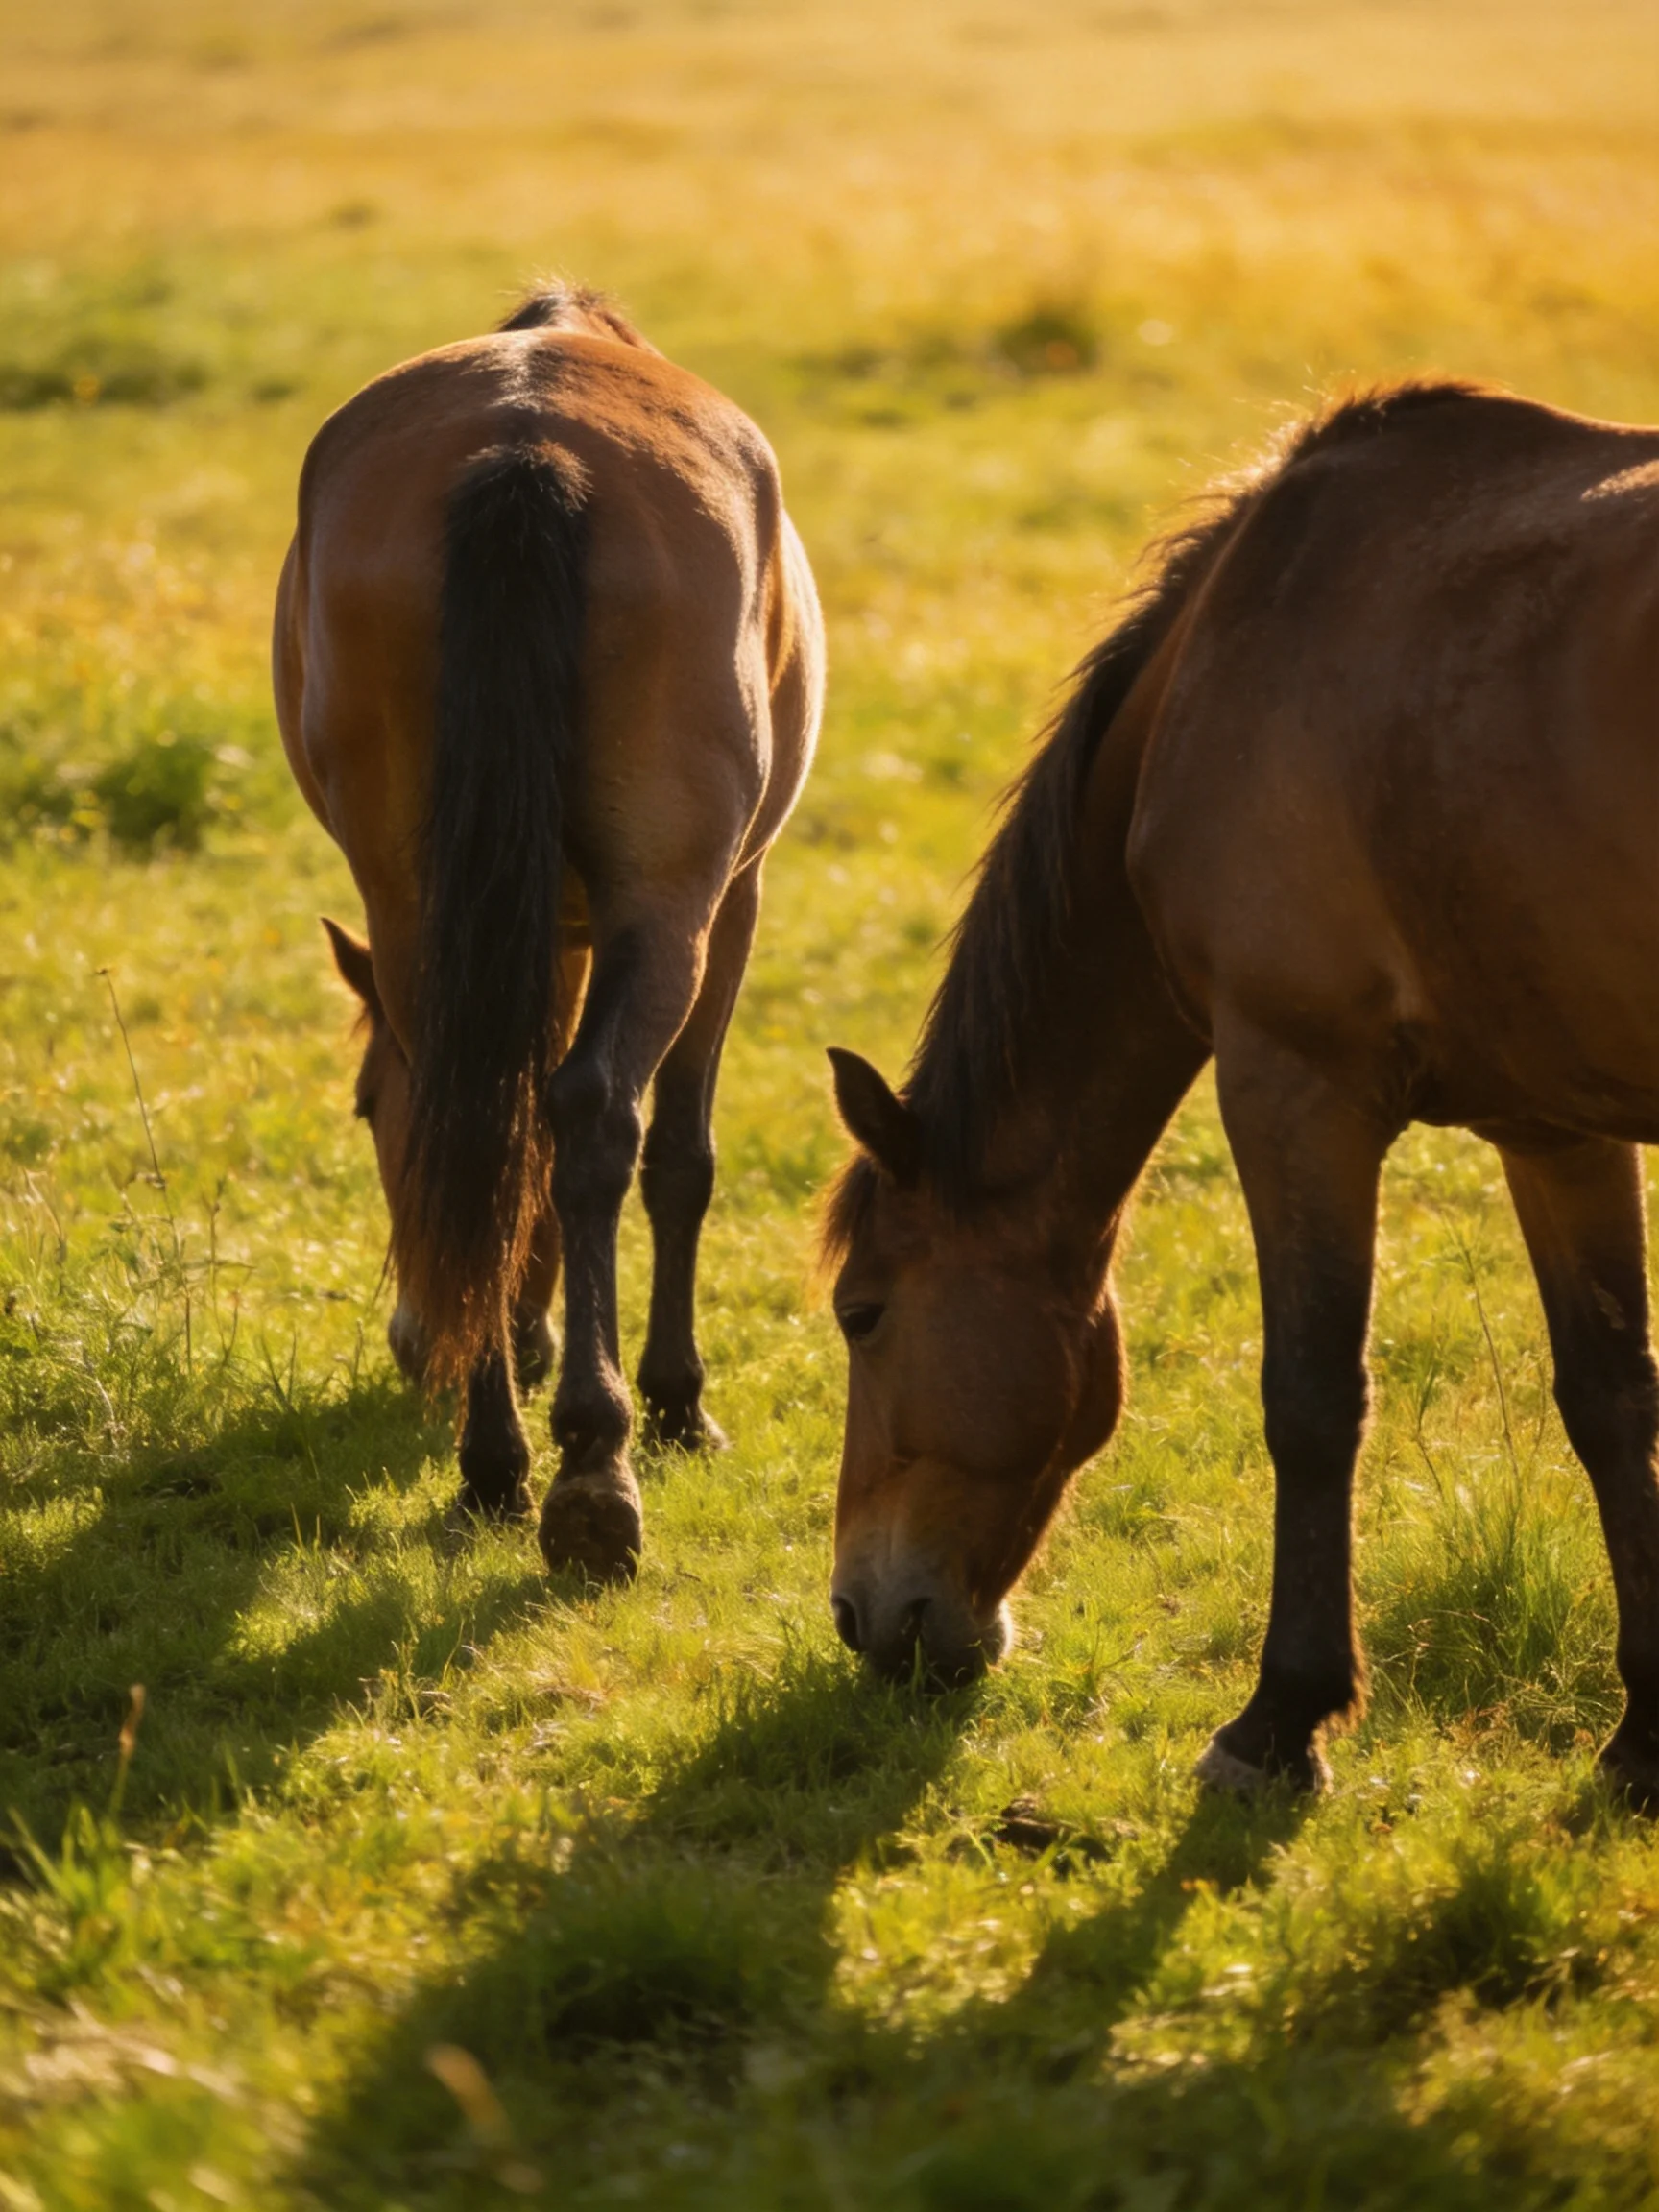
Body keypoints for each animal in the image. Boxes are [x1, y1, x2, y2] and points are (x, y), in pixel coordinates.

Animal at [274, 282, 824, 1580]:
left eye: (359, 1108)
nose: (412, 1343)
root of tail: (524, 448)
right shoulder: (735, 900)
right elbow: (680, 1156)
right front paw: (672, 1399)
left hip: (418, 901)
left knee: (483, 1109)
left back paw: (495, 1462)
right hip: (675, 908)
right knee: (595, 1119)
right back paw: (592, 1471)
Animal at [824, 380, 1659, 1803]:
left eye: (862, 1314)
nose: (858, 1619)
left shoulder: (1291, 1086)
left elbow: (1311, 1400)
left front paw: (1279, 1722)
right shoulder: (1556, 1128)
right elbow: (1613, 1402)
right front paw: (1645, 1743)